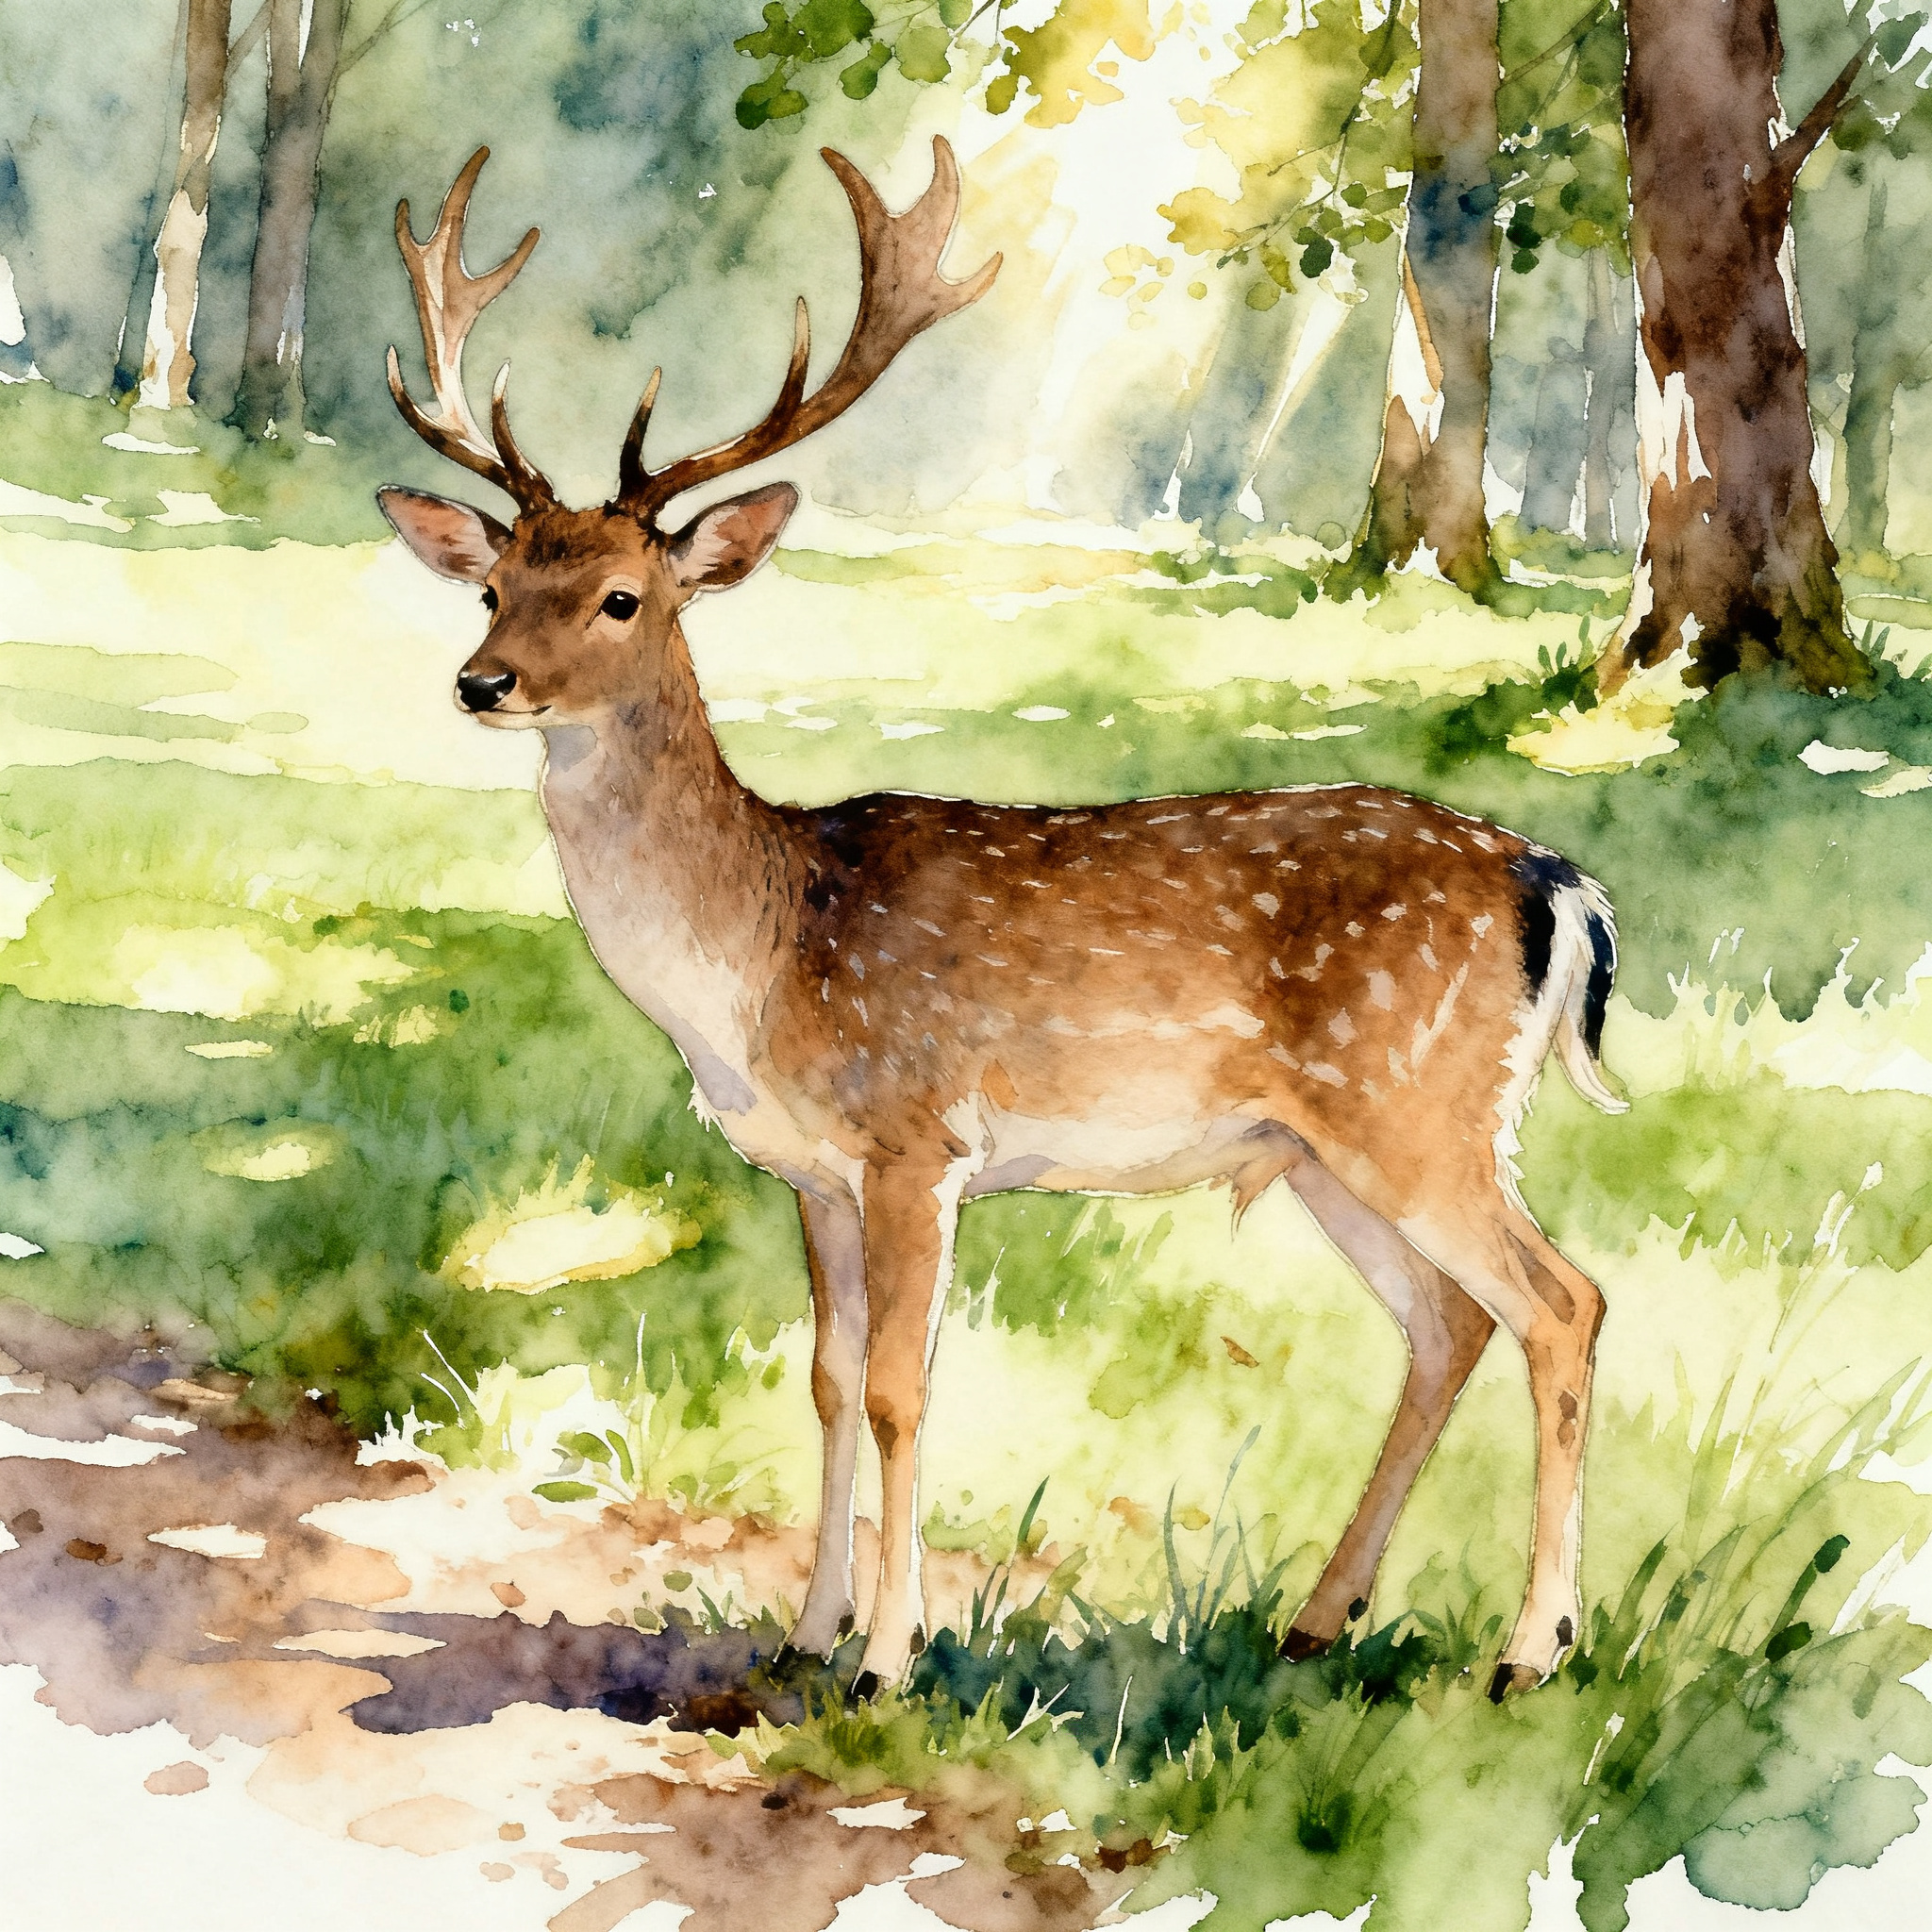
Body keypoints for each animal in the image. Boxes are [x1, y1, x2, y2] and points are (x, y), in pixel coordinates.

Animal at [376, 138, 1627, 1700]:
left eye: (620, 597)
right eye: (491, 584)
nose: (482, 683)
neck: (759, 965)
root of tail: (1553, 882)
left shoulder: (920, 1137)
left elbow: (903, 1390)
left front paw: (887, 1662)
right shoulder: (813, 1174)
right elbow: (826, 1382)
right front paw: (804, 1636)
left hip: (1419, 1106)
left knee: (1564, 1304)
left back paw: (1532, 1653)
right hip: (1331, 1148)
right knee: (1453, 1323)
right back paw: (1318, 1617)